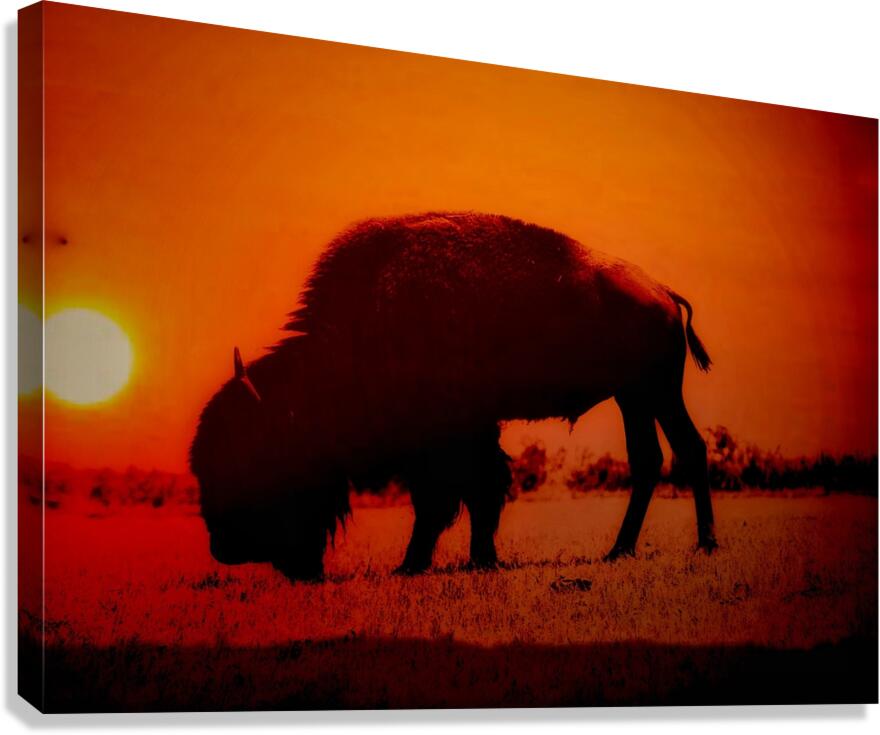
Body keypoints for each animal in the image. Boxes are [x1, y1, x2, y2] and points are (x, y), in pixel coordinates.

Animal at [190, 212, 717, 581]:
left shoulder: (447, 439)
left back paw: (703, 545)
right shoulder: (466, 434)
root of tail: (662, 291)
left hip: (657, 391)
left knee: (687, 450)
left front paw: (420, 563)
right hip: (635, 398)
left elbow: (452, 498)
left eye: (252, 457)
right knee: (651, 459)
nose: (221, 547)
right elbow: (477, 492)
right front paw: (474, 559)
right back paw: (619, 550)